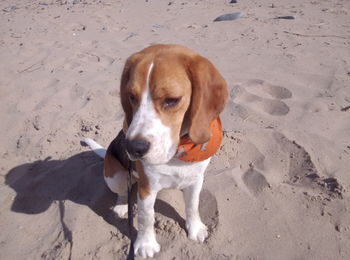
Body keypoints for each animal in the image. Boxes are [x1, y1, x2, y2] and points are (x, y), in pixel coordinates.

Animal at [83, 44, 228, 258]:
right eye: (131, 97)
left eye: (172, 100)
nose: (132, 147)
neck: (176, 154)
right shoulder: (146, 188)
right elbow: (146, 218)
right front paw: (145, 244)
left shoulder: (196, 179)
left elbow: (192, 206)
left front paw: (195, 228)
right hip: (114, 176)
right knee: (123, 191)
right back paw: (121, 206)